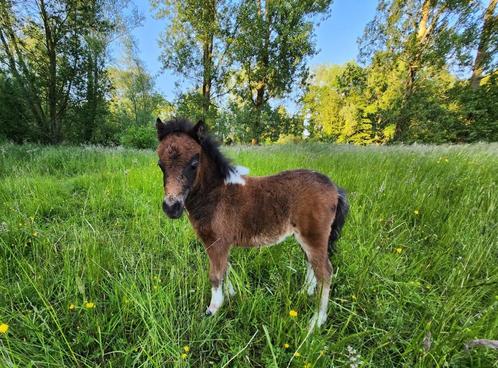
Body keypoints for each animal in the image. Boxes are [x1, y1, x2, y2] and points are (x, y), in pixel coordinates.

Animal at [154, 118, 348, 328]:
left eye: (194, 163)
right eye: (160, 164)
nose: (171, 207)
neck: (215, 194)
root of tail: (335, 188)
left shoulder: (217, 242)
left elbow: (215, 275)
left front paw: (213, 310)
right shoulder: (221, 244)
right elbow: (225, 270)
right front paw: (230, 295)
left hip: (314, 236)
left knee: (325, 273)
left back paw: (317, 321)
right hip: (305, 237)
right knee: (311, 264)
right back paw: (305, 292)